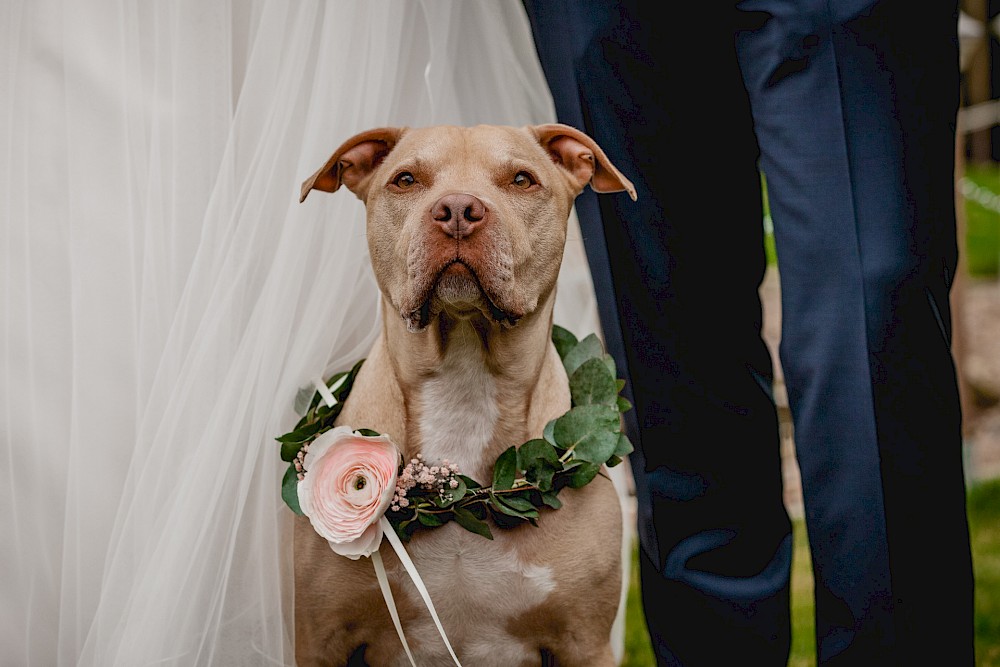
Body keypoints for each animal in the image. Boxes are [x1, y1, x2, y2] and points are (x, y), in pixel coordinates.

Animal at [296, 124, 636, 667]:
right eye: (405, 179)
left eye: (522, 179)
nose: (457, 209)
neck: (464, 379)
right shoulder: (319, 637)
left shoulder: (585, 642)